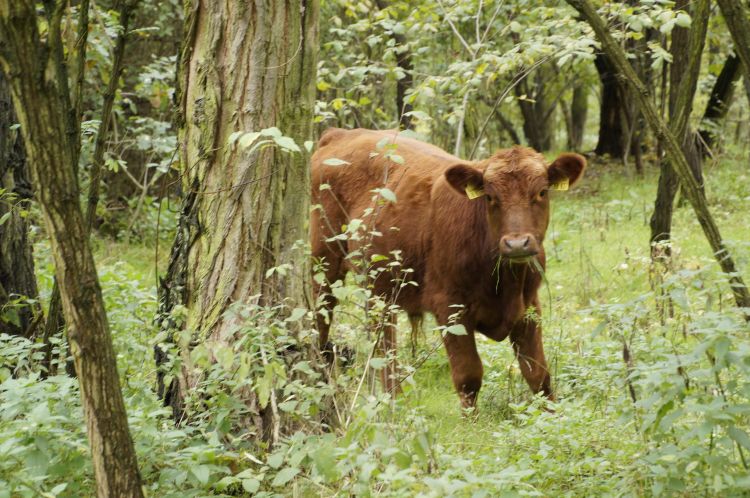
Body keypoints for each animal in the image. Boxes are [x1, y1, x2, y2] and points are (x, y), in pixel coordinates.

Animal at [312, 128, 588, 408]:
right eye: (490, 197)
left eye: (542, 192)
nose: (517, 243)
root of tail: (341, 134)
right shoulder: (449, 307)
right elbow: (468, 376)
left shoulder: (529, 306)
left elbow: (538, 375)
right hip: (324, 262)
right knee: (324, 321)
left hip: (380, 287)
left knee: (383, 341)